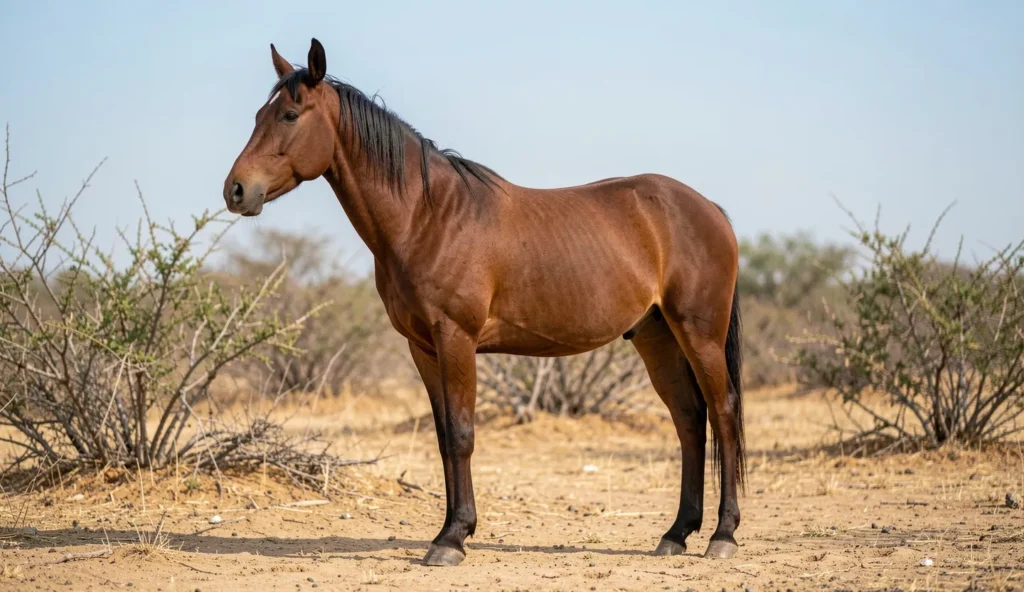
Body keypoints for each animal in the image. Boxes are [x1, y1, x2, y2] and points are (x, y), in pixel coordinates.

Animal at [224, 38, 746, 567]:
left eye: (290, 115)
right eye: (258, 114)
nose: (236, 190)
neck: (427, 216)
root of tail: (710, 210)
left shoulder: (456, 338)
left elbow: (461, 434)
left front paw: (452, 538)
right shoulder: (422, 347)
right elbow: (443, 438)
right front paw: (451, 530)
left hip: (698, 333)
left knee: (722, 413)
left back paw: (722, 535)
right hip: (656, 335)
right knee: (689, 418)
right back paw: (677, 533)